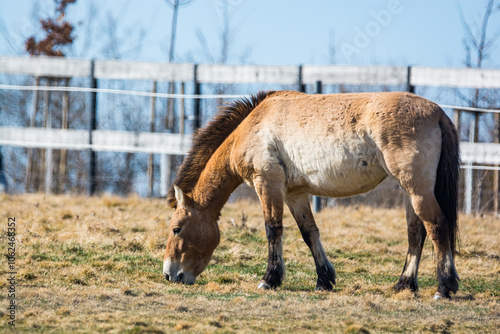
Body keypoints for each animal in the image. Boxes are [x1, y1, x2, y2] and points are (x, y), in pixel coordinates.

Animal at [162, 90, 458, 300]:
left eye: (176, 229)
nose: (169, 274)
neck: (253, 125)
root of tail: (438, 113)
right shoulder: (296, 194)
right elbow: (309, 233)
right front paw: (324, 280)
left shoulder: (267, 183)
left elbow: (273, 229)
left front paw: (269, 280)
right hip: (409, 191)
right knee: (415, 233)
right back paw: (404, 284)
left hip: (416, 188)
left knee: (437, 227)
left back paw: (444, 288)